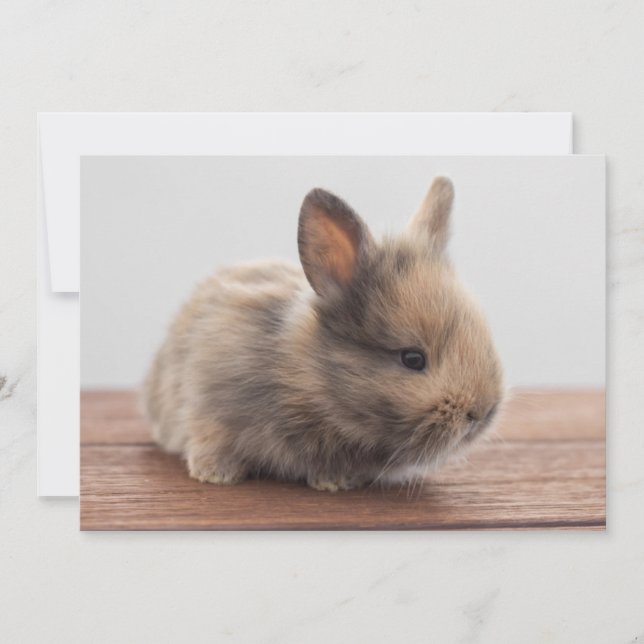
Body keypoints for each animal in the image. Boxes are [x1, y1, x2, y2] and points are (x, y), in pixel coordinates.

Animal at [142, 177, 503, 491]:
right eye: (412, 358)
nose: (481, 413)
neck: (306, 381)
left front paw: (335, 482)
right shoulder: (210, 402)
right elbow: (210, 438)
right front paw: (215, 475)